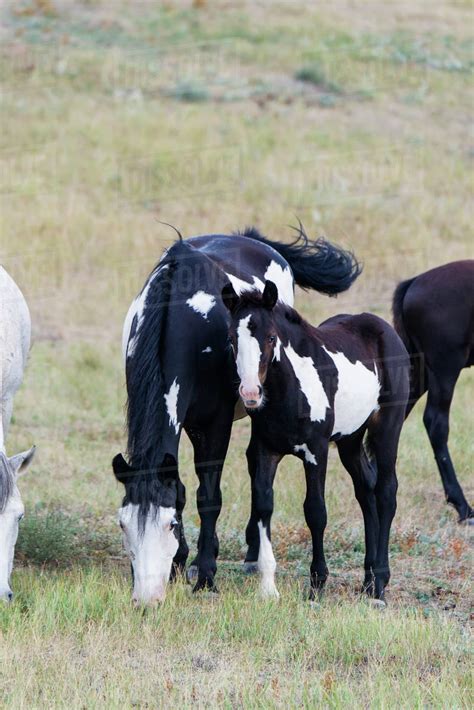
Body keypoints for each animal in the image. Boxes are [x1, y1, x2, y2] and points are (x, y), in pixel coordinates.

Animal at [113, 225, 362, 604]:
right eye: (123, 525)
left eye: (170, 525)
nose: (146, 596)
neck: (180, 315)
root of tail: (251, 238)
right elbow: (181, 489)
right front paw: (181, 562)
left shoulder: (213, 425)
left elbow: (208, 497)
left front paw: (206, 576)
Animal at [224, 280, 410, 604]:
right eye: (233, 338)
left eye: (271, 337)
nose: (250, 393)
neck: (290, 390)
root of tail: (385, 329)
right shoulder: (266, 451)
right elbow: (263, 505)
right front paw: (268, 588)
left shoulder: (317, 452)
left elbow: (315, 512)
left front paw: (317, 584)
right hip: (350, 440)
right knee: (366, 490)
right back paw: (368, 579)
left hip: (386, 430)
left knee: (386, 492)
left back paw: (379, 586)